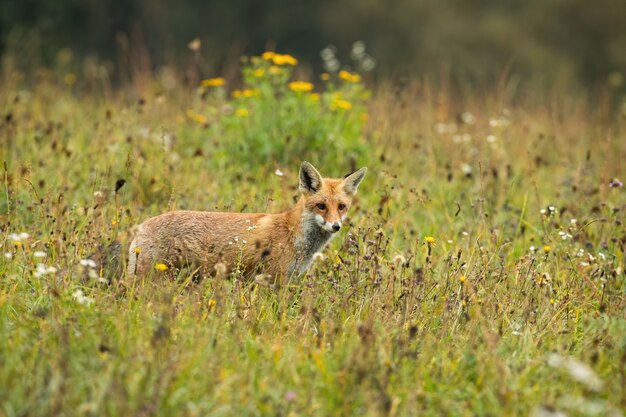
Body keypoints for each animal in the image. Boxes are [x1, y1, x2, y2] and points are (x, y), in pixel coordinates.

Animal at [127, 162, 366, 282]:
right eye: (321, 206)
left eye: (341, 207)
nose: (336, 226)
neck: (294, 238)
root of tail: (141, 226)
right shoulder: (271, 280)